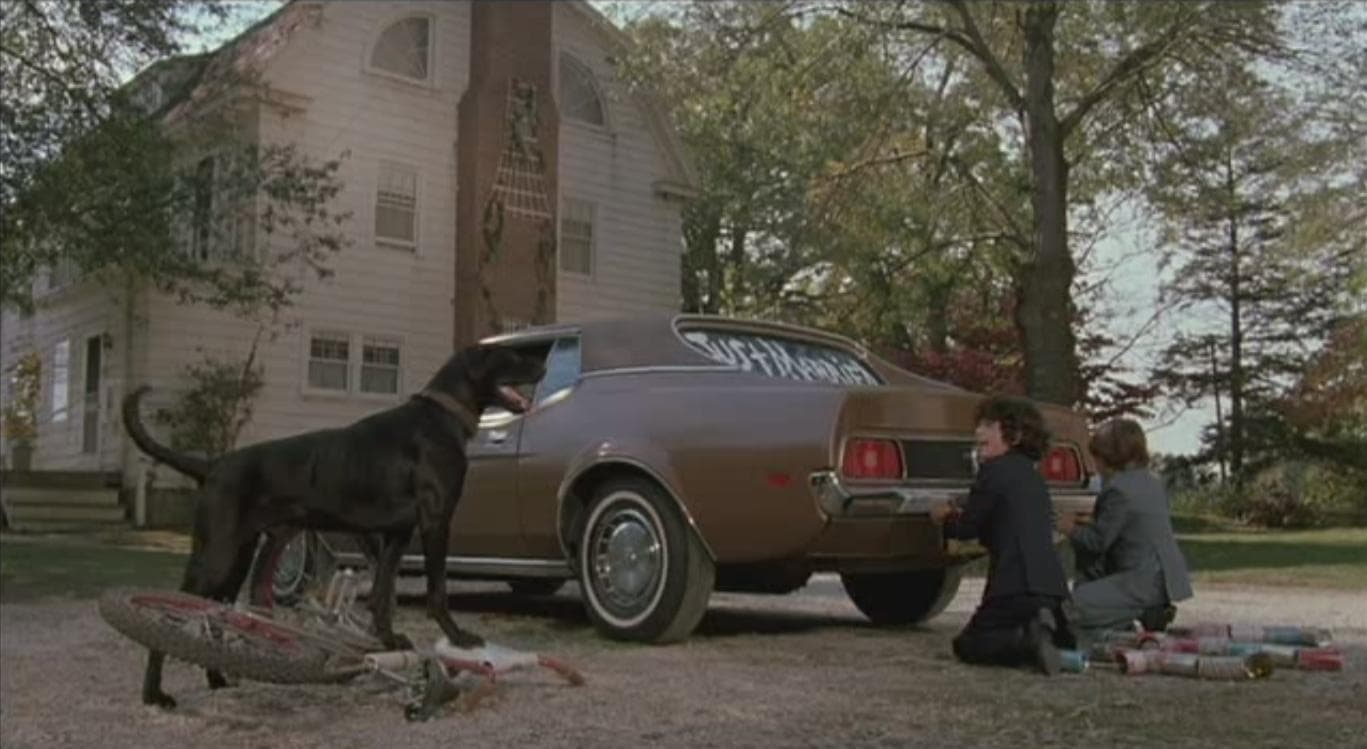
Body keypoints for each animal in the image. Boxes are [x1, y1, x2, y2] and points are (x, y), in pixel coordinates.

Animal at [120, 343, 544, 708]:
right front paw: (458, 636)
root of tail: (211, 466)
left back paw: (218, 678)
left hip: (236, 555)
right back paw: (154, 694)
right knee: (172, 613)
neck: (441, 417)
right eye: (510, 356)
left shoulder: (397, 534)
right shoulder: (436, 521)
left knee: (214, 613)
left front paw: (388, 641)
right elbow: (436, 591)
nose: (542, 365)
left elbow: (382, 596)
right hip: (217, 555)